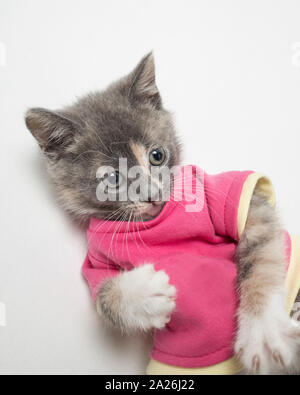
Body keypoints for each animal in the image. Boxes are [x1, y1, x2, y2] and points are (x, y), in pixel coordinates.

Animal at [25, 54, 300, 376]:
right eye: (113, 178)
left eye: (157, 156)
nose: (152, 196)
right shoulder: (96, 260)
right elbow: (103, 297)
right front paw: (143, 295)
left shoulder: (235, 199)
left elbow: (261, 255)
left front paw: (263, 330)